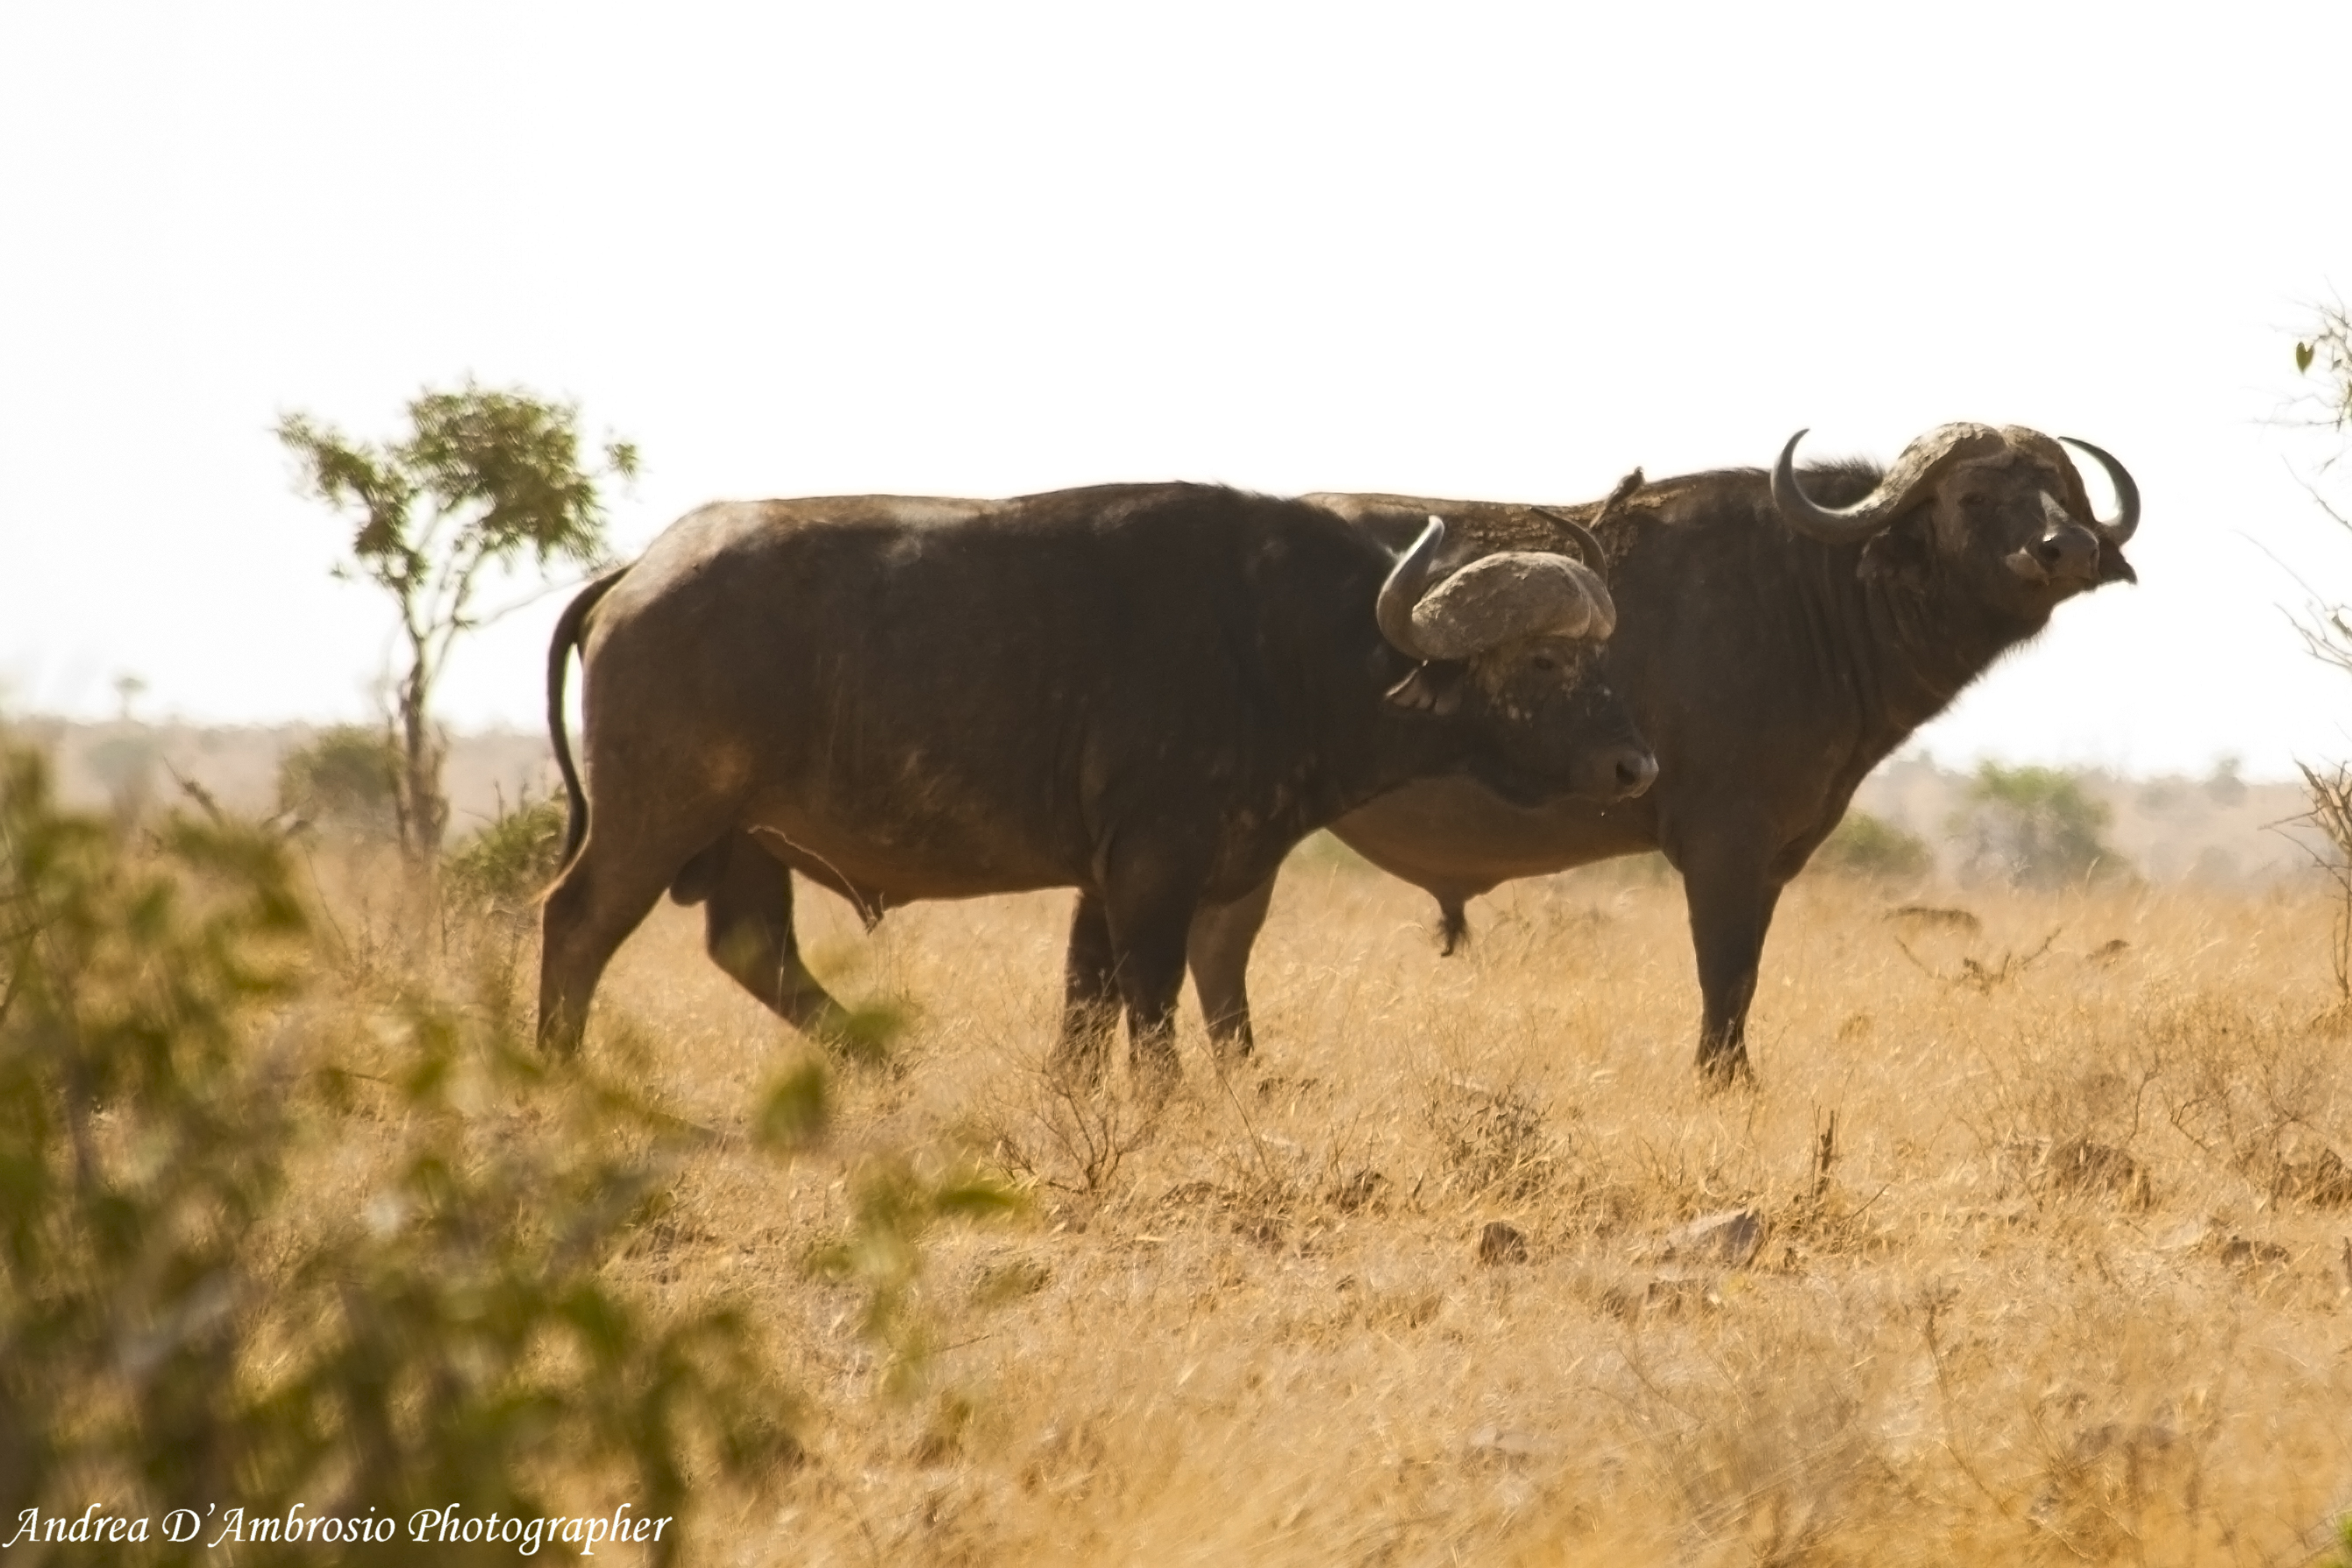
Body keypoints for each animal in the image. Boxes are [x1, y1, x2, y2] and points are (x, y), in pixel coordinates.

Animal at [536, 481, 1657, 1085]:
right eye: (1544, 661)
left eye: (1600, 655)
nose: (1634, 765)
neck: (1276, 646)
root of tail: (637, 575)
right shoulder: (1154, 871)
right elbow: (1150, 1008)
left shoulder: (1104, 879)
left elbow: (1086, 1009)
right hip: (655, 819)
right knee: (576, 922)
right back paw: (560, 1072)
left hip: (742, 842)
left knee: (751, 948)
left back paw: (890, 1070)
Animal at [1080, 424, 2138, 1083]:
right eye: (1977, 492)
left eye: (2061, 488)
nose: (2067, 549)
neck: (1813, 592)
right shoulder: (1723, 847)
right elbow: (1726, 972)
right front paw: (1722, 1081)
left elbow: (1742, 975)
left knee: (1215, 949)